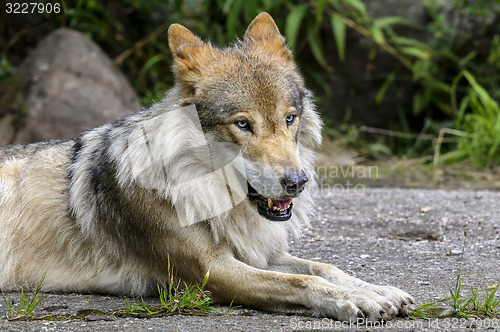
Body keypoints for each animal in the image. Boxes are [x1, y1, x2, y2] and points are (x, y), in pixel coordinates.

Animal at [0, 13, 414, 322]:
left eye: (290, 118)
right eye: (243, 124)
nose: (297, 182)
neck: (213, 195)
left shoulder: (260, 254)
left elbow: (326, 269)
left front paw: (378, 290)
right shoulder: (212, 271)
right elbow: (301, 282)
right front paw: (355, 301)